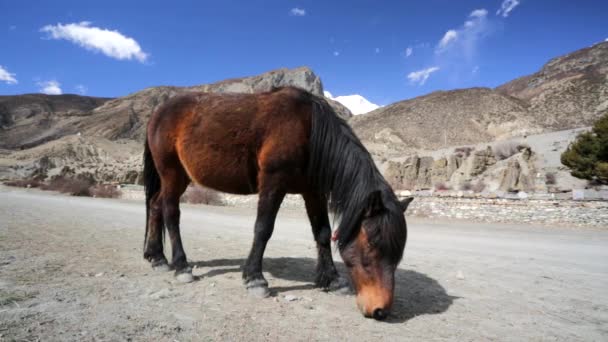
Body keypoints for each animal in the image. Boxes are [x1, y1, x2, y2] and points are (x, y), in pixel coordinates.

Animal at [144, 87, 414, 320]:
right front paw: (255, 279)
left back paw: (157, 258)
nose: (380, 310)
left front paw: (332, 280)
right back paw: (181, 266)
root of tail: (158, 112)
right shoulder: (273, 182)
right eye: (371, 246)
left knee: (156, 207)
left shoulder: (313, 192)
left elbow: (322, 233)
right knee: (170, 212)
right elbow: (263, 228)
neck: (308, 128)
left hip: (178, 177)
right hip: (171, 173)